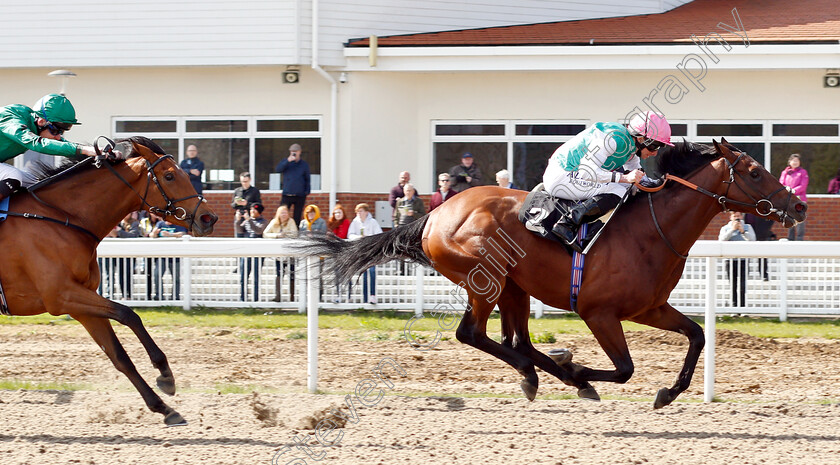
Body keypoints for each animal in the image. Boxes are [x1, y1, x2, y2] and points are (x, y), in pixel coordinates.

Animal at [0, 135, 217, 424]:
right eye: (170, 175)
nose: (209, 217)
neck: (61, 218)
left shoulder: (80, 303)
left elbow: (119, 356)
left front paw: (164, 405)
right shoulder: (61, 296)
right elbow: (128, 314)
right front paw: (164, 373)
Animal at [304, 138, 808, 406]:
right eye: (756, 171)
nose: (798, 206)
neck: (651, 231)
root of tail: (435, 214)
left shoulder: (649, 308)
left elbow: (698, 335)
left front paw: (668, 391)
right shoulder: (598, 312)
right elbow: (624, 369)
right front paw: (582, 369)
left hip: (515, 287)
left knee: (516, 341)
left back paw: (543, 373)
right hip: (486, 280)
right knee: (474, 335)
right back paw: (553, 374)